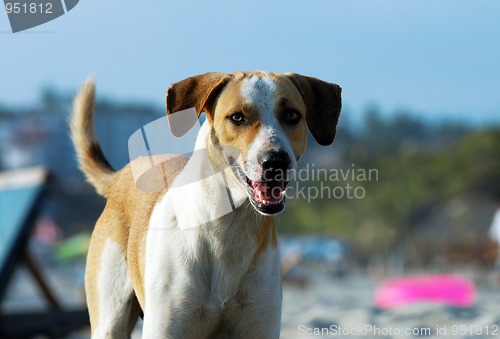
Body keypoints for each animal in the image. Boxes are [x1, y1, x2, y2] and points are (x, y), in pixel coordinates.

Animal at [70, 70, 342, 338]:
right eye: (237, 117)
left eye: (292, 115)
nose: (275, 160)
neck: (229, 228)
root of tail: (121, 174)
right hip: (110, 315)